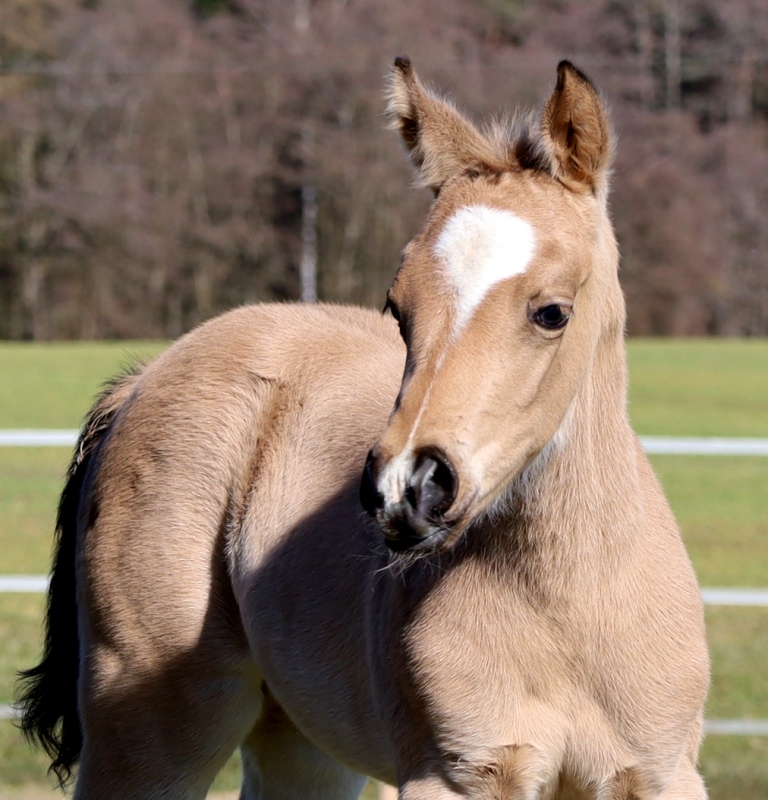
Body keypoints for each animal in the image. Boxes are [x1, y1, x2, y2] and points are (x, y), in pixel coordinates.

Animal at [18, 58, 709, 799]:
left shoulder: (660, 775)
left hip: (299, 739)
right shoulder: (452, 775)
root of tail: (144, 376)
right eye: (398, 309)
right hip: (146, 723)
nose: (408, 487)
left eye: (552, 312)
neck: (570, 611)